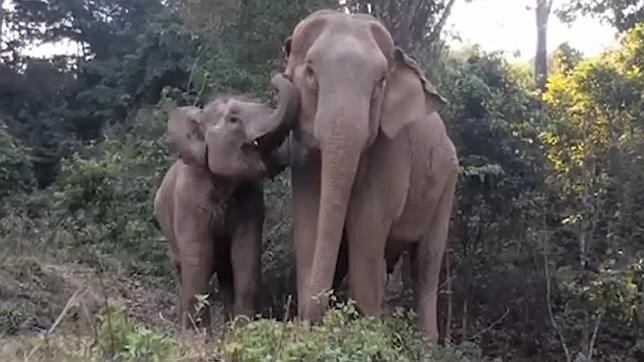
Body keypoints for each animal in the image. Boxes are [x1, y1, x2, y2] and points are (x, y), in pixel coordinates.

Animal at [155, 74, 298, 334]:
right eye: (233, 119)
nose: (277, 79)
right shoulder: (187, 201)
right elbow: (198, 258)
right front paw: (199, 336)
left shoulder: (251, 201)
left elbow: (246, 254)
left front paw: (242, 331)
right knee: (183, 272)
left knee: (225, 274)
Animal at [282, 7, 458, 342]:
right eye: (310, 73)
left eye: (381, 81)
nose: (315, 322)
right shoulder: (304, 156)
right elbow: (309, 218)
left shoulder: (392, 149)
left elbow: (367, 221)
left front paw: (365, 334)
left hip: (447, 189)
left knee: (426, 264)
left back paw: (427, 345)